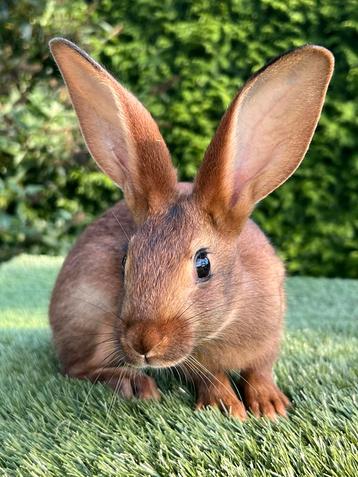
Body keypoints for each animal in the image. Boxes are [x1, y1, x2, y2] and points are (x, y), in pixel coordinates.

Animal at [49, 37, 334, 418]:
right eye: (125, 262)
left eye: (203, 265)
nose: (144, 343)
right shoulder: (196, 361)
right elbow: (211, 376)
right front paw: (224, 407)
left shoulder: (269, 340)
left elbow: (259, 371)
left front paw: (270, 406)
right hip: (89, 316)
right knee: (76, 368)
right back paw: (134, 384)